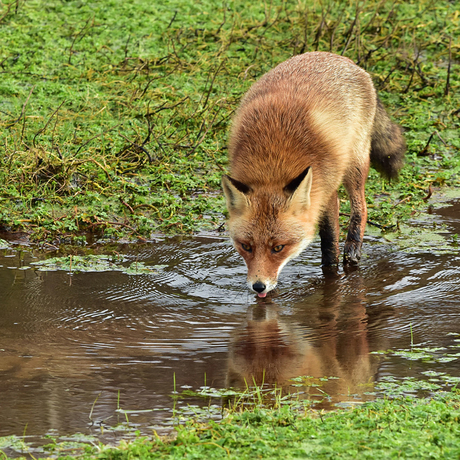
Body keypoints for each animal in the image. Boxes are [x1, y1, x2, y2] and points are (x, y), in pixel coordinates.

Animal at [223, 52, 406, 296]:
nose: (258, 285)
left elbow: (329, 241)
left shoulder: (325, 189)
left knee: (361, 207)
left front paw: (332, 277)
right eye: (246, 246)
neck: (272, 162)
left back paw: (353, 249)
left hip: (354, 164)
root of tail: (342, 58)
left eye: (278, 247)